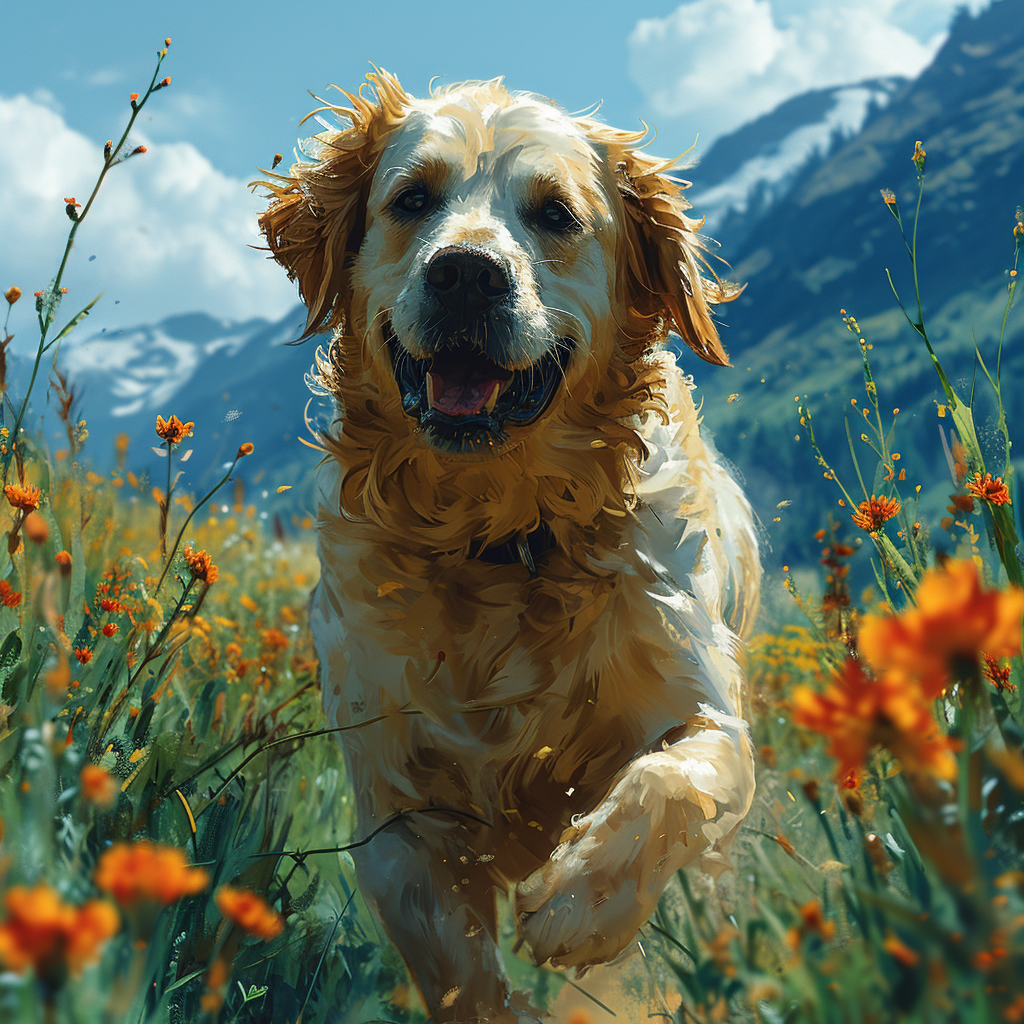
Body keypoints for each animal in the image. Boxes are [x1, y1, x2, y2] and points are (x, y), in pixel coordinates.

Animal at [258, 74, 761, 1024]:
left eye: (556, 214)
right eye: (412, 200)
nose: (465, 274)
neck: (499, 539)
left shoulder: (706, 717)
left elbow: (669, 785)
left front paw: (577, 904)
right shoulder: (398, 817)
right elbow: (461, 979)